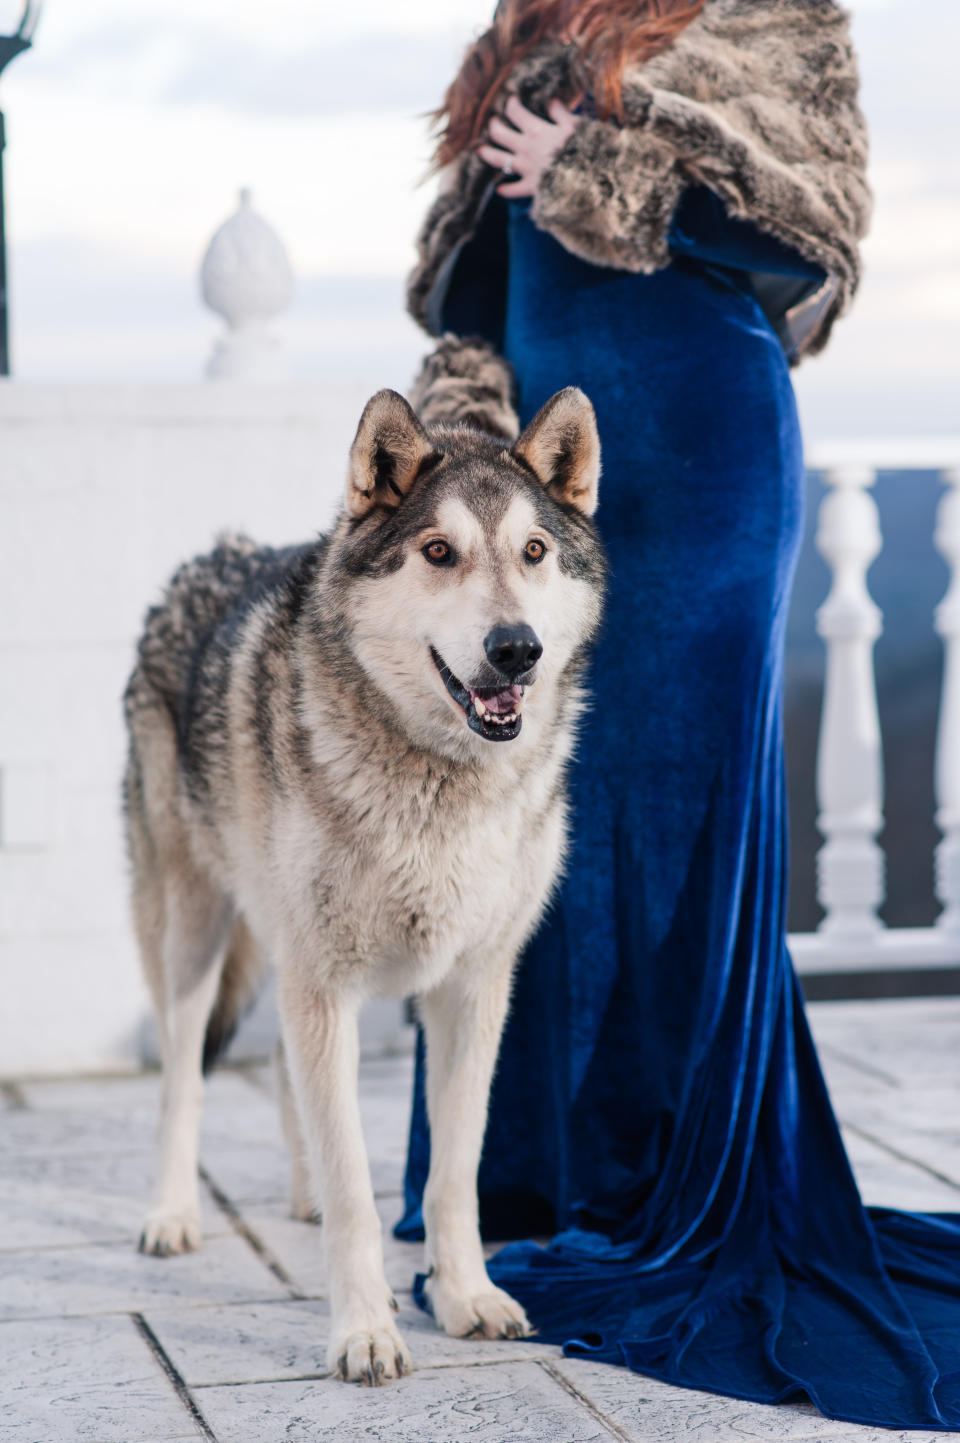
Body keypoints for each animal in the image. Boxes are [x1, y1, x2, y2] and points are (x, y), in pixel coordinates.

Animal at [123, 337, 603, 1385]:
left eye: (534, 553)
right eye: (439, 552)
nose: (516, 648)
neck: (438, 783)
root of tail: (201, 558)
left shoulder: (472, 988)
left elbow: (455, 1168)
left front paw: (466, 1297)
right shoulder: (326, 982)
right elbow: (354, 1185)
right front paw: (365, 1331)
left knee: (283, 1077)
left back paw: (294, 1198)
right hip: (193, 934)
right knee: (182, 1078)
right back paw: (171, 1215)